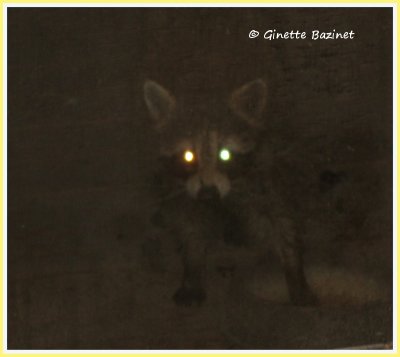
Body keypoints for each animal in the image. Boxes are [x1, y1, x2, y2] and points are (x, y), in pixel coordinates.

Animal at [144, 78, 316, 306]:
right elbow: (189, 227)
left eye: (224, 154)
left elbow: (283, 220)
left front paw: (294, 269)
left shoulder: (266, 167)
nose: (208, 191)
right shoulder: (181, 188)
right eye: (188, 156)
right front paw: (192, 269)